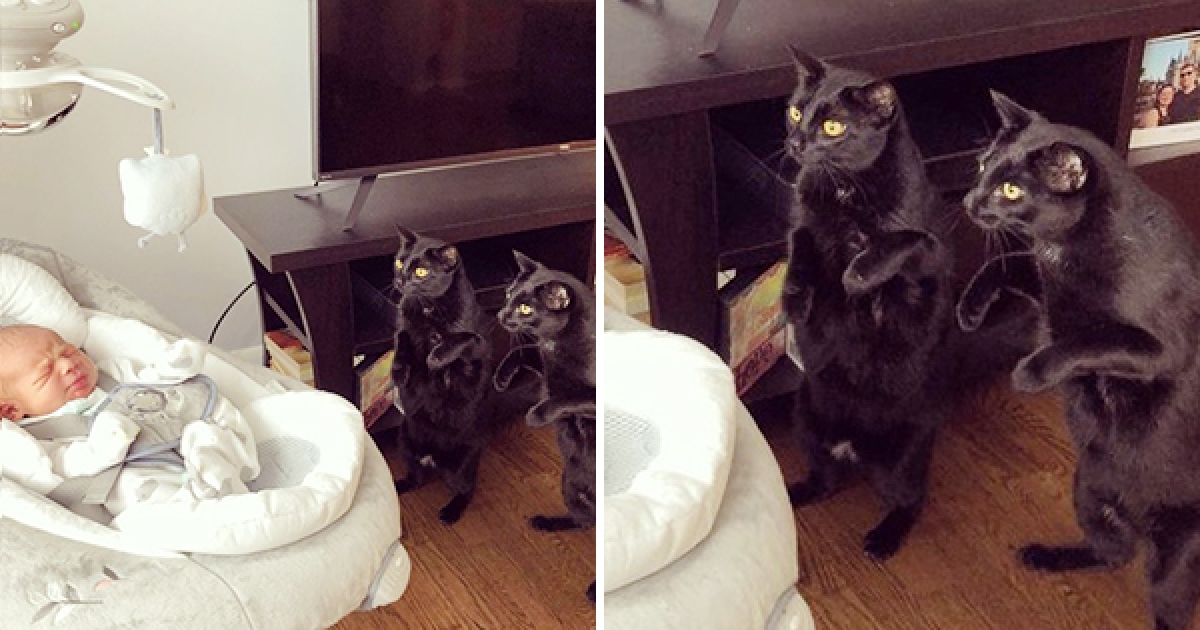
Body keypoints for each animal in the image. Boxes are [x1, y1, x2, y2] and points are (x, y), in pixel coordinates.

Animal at [389, 227, 499, 525]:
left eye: (421, 271)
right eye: (399, 263)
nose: (400, 280)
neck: (428, 306)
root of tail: (432, 459)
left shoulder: (480, 344)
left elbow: (461, 337)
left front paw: (436, 356)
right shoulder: (402, 323)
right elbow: (402, 339)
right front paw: (399, 371)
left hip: (462, 463)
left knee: (466, 491)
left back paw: (449, 513)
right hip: (405, 442)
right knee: (415, 477)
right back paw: (397, 486)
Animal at [496, 250, 596, 601]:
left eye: (526, 309)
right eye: (507, 295)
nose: (500, 315)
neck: (557, 345)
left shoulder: (593, 399)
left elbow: (569, 397)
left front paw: (534, 416)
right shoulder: (543, 362)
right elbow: (521, 349)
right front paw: (500, 378)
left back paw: (595, 591)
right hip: (569, 484)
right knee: (585, 522)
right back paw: (546, 523)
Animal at [781, 47, 981, 561]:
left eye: (834, 127)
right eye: (796, 112)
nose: (797, 143)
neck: (845, 189)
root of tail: (854, 448)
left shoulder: (932, 251)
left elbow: (901, 240)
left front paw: (858, 273)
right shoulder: (802, 217)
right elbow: (801, 245)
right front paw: (795, 299)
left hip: (903, 457)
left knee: (910, 502)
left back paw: (881, 541)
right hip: (805, 420)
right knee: (825, 480)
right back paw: (793, 493)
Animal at [960, 91, 1200, 630]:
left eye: (1010, 190)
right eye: (983, 166)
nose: (969, 201)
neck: (1065, 251)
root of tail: (1136, 517)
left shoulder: (1162, 348)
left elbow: (1092, 339)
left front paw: (1030, 372)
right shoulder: (1045, 285)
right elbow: (1001, 262)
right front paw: (969, 309)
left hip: (1175, 562)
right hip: (1087, 488)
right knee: (1113, 552)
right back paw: (1047, 558)